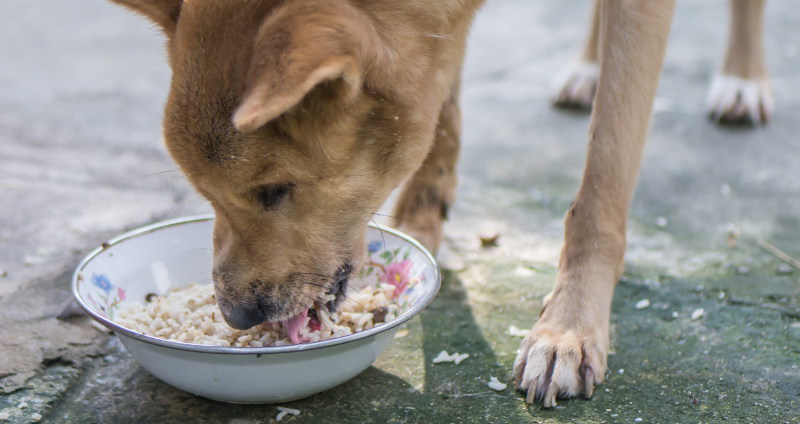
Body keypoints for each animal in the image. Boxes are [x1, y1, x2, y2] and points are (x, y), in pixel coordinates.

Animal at [109, 0, 688, 406]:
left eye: (274, 190)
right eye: (204, 192)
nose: (236, 316)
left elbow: (603, 177)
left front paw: (568, 327)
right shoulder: (438, 42)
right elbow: (440, 105)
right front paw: (421, 218)